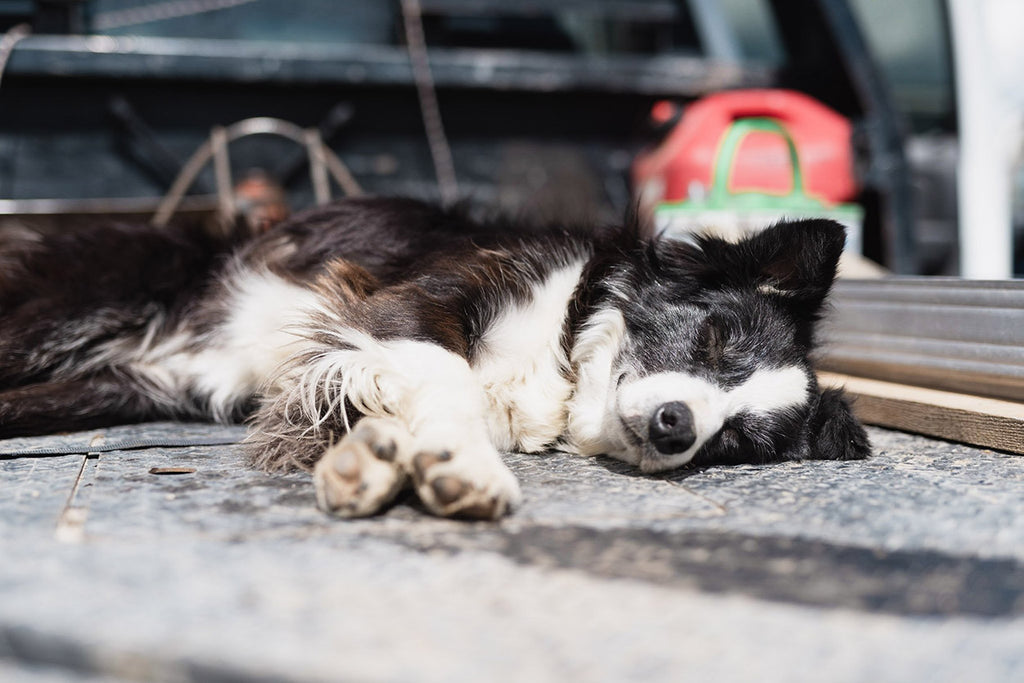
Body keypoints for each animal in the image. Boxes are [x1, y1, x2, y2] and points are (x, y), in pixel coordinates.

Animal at [0, 197, 868, 518]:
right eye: (715, 337)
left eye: (736, 442)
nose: (675, 426)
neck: (567, 360)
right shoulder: (407, 305)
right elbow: (449, 377)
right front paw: (462, 463)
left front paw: (373, 460)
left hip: (121, 384)